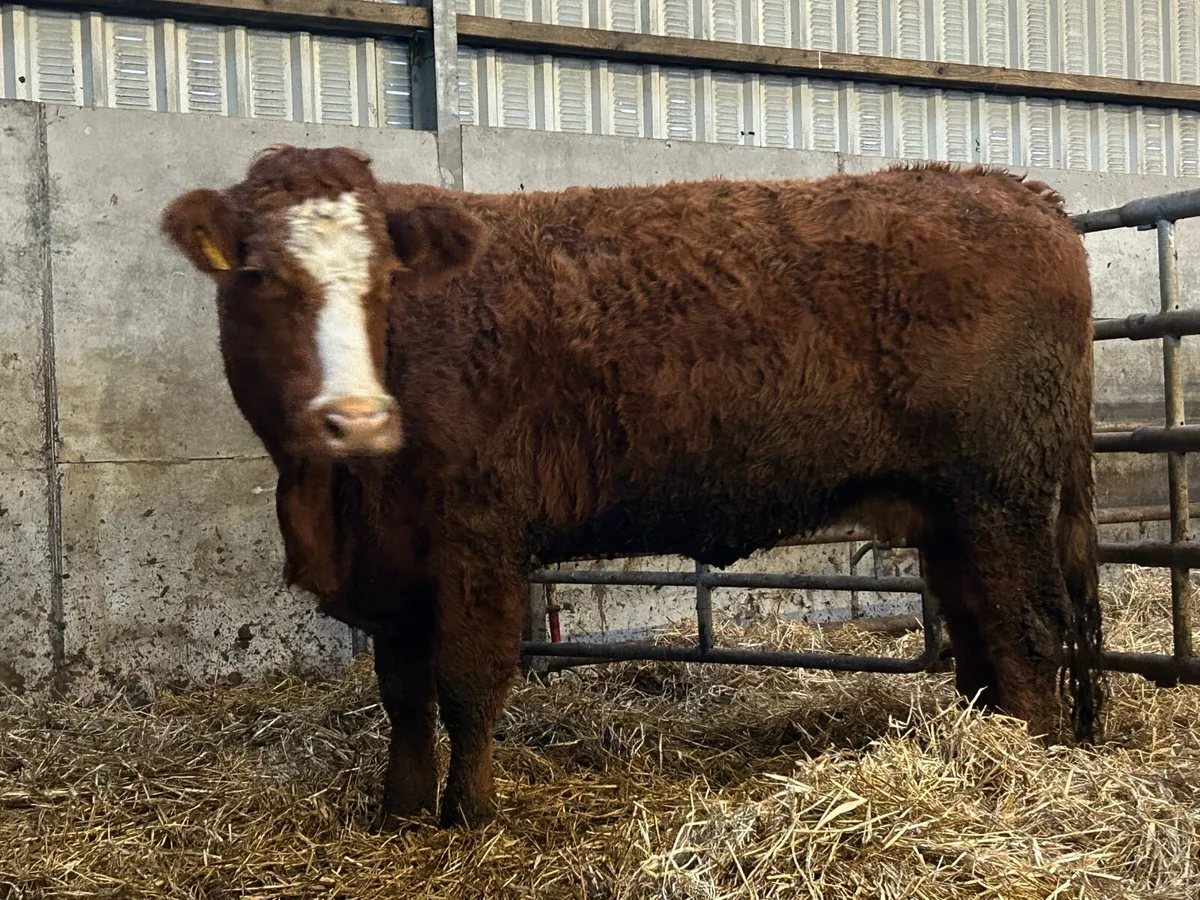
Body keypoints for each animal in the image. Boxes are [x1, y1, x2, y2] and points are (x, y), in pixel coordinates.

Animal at [160, 145, 1103, 830]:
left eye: (386, 279)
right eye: (259, 276)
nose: (354, 419)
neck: (334, 496)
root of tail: (1017, 192)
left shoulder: (477, 546)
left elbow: (465, 687)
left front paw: (470, 814)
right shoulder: (391, 565)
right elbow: (402, 697)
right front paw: (397, 814)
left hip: (1001, 494)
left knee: (1029, 632)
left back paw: (1027, 766)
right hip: (954, 516)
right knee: (983, 638)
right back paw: (985, 739)